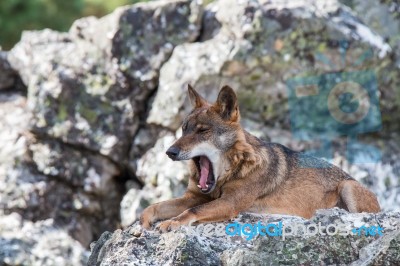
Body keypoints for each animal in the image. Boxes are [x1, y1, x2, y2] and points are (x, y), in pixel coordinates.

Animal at [141, 84, 382, 231]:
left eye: (202, 131)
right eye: (184, 130)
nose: (170, 152)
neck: (230, 172)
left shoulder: (229, 203)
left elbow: (192, 211)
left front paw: (171, 223)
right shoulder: (194, 196)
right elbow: (154, 207)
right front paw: (143, 224)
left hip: (348, 187)